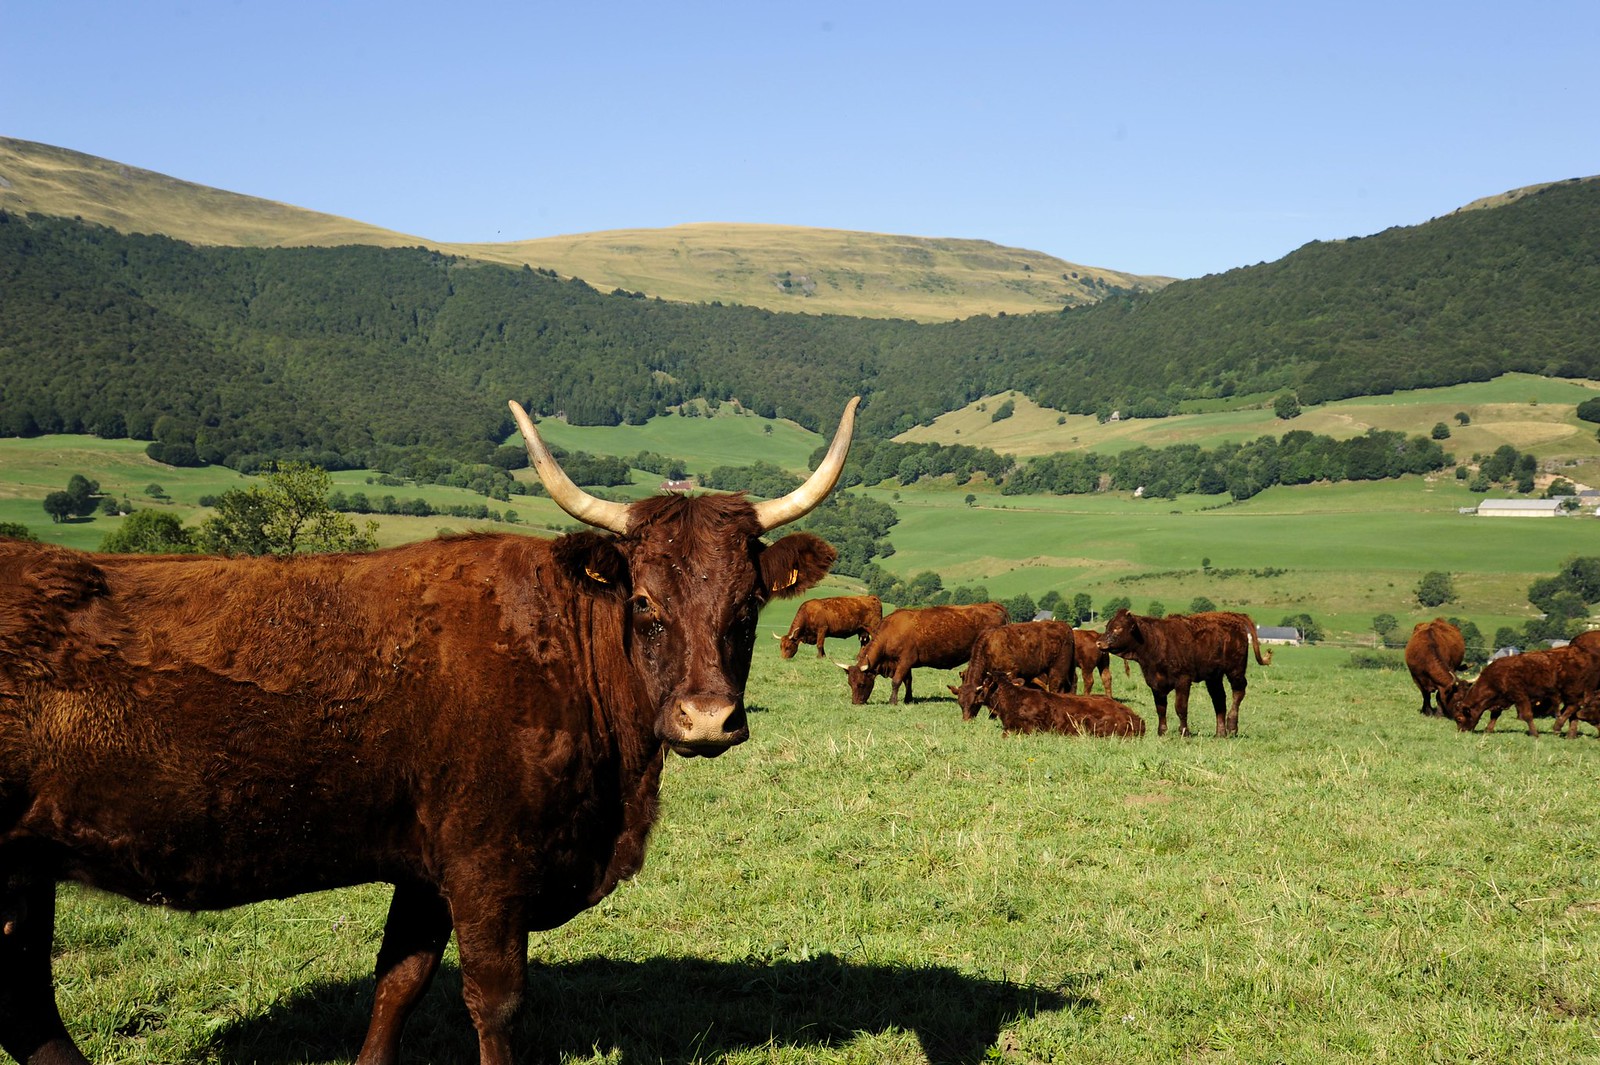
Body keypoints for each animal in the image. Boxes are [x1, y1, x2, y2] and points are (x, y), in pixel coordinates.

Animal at [0, 396, 858, 1065]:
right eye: (644, 601)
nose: (707, 717)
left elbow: (398, 985)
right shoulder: (486, 863)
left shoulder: (424, 866)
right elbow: (495, 1000)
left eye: (748, 605)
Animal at [839, 602, 1008, 705]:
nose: (855, 702)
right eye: (850, 683)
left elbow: (896, 681)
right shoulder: (904, 663)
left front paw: (892, 701)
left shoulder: (905, 661)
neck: (890, 632)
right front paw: (908, 699)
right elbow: (908, 681)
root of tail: (993, 605)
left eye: (861, 684)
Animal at [1097, 608, 1271, 738]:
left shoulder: (1183, 680)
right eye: (1107, 626)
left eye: (1118, 628)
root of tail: (1230, 615)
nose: (1099, 642)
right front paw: (1162, 732)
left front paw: (1184, 732)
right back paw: (1220, 732)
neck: (1155, 641)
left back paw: (1232, 726)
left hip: (1236, 670)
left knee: (1238, 692)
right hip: (1214, 677)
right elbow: (1161, 708)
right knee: (1219, 700)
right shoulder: (1155, 682)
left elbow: (1180, 707)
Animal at [1446, 643, 1600, 737]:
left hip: (1572, 691)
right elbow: (1494, 715)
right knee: (1573, 710)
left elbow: (1527, 715)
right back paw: (1569, 734)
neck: (1496, 677)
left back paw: (1557, 726)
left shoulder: (1520, 696)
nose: (1461, 731)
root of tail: (1581, 653)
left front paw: (1535, 734)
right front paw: (1488, 730)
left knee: (1573, 707)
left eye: (1459, 718)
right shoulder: (1501, 700)